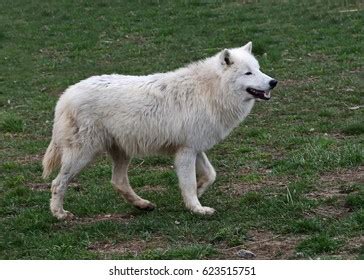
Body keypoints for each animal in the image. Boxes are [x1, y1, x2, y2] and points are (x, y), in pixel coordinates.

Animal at [42, 42, 276, 221]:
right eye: (248, 73)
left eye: (258, 69)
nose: (274, 82)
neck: (210, 91)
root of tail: (65, 96)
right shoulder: (186, 152)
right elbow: (189, 183)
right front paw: (197, 208)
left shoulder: (195, 148)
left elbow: (211, 175)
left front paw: (199, 191)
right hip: (83, 155)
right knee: (57, 183)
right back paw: (60, 214)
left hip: (121, 153)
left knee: (118, 182)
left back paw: (143, 205)